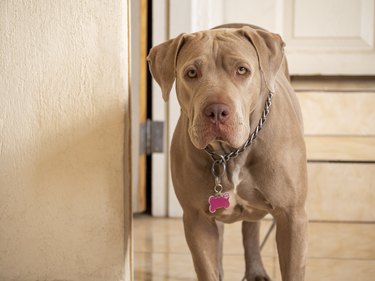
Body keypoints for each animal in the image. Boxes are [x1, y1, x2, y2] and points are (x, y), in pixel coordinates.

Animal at [147, 24, 308, 280]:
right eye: (191, 73)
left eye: (242, 70)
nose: (216, 111)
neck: (230, 154)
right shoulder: (196, 219)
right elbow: (208, 267)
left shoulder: (292, 216)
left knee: (251, 228)